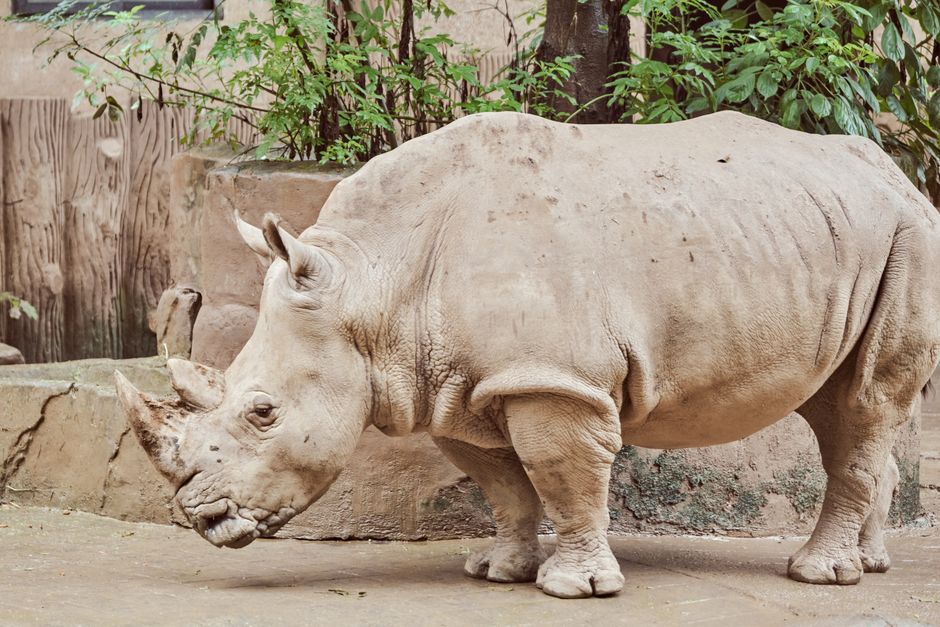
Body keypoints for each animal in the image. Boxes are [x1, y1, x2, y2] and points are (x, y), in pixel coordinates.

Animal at [115, 111, 940, 599]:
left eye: (262, 411)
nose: (199, 516)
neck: (371, 280)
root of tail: (899, 173)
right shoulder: (454, 382)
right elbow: (500, 480)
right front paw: (496, 570)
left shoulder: (555, 379)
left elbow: (560, 471)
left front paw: (572, 587)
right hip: (833, 235)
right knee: (839, 407)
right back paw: (867, 563)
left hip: (909, 236)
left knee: (863, 404)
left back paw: (820, 575)